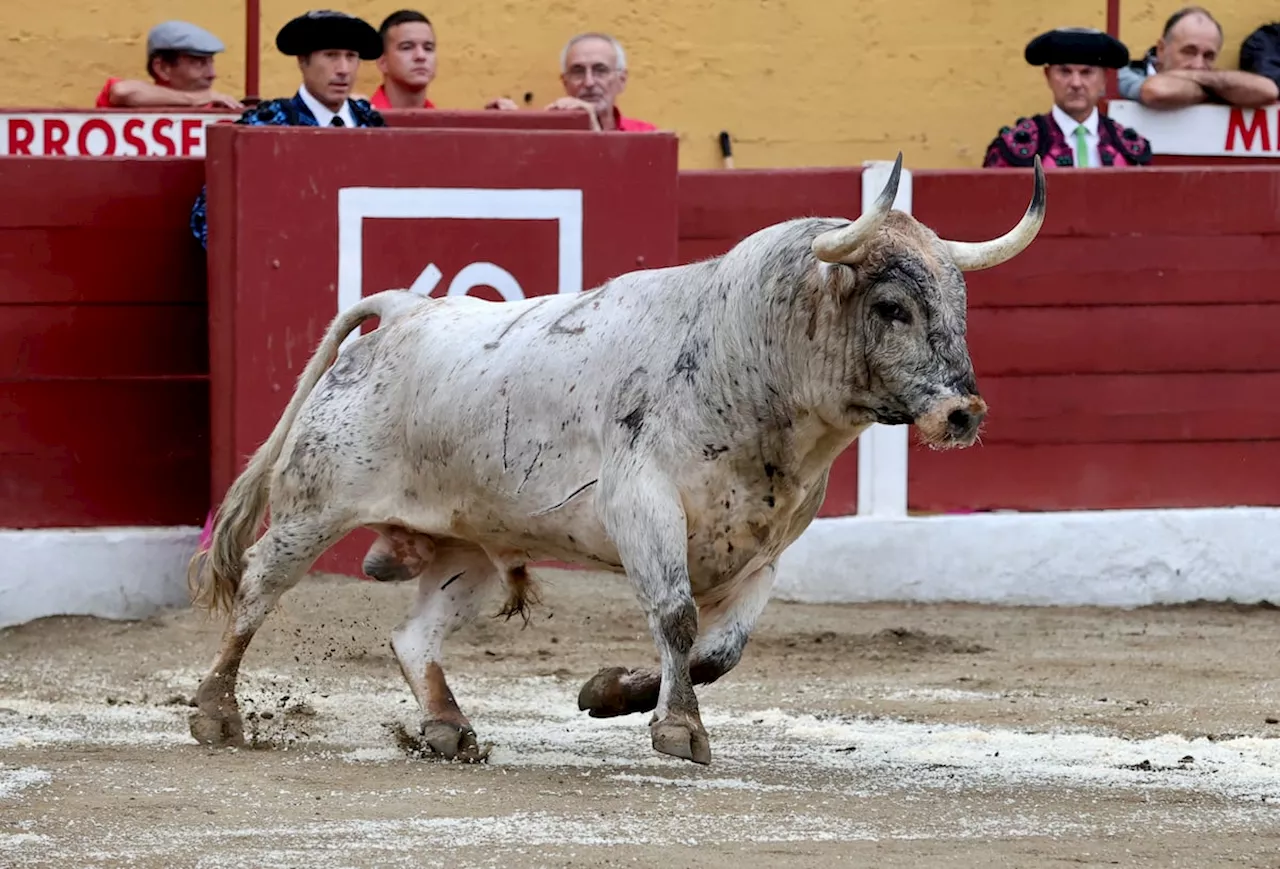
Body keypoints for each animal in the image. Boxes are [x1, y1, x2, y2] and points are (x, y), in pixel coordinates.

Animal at [192, 152, 1049, 762]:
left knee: (415, 636)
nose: (963, 412)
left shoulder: (767, 551)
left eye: (959, 304)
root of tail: (405, 310)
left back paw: (445, 728)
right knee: (259, 587)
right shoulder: (643, 505)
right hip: (314, 504)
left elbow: (719, 649)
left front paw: (609, 693)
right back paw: (216, 712)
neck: (744, 357)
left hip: (469, 545)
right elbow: (677, 615)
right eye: (892, 305)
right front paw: (680, 731)